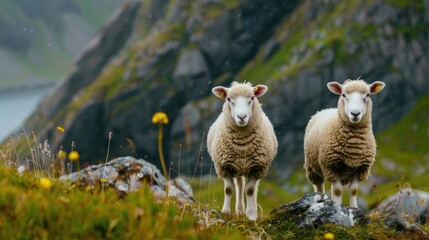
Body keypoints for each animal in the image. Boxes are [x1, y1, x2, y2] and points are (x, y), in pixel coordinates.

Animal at [206, 82, 278, 219]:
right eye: (228, 99)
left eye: (252, 98)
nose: (242, 116)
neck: (242, 146)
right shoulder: (224, 166)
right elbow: (229, 189)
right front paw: (225, 212)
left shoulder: (257, 167)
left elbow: (250, 190)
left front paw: (251, 215)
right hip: (237, 167)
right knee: (239, 185)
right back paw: (239, 210)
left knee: (252, 189)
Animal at [302, 79, 386, 208]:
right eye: (343, 95)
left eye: (367, 95)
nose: (355, 113)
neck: (353, 143)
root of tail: (325, 110)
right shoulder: (331, 166)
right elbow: (338, 190)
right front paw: (336, 205)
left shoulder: (361, 168)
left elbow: (353, 190)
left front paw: (354, 207)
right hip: (312, 167)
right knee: (319, 186)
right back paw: (320, 198)